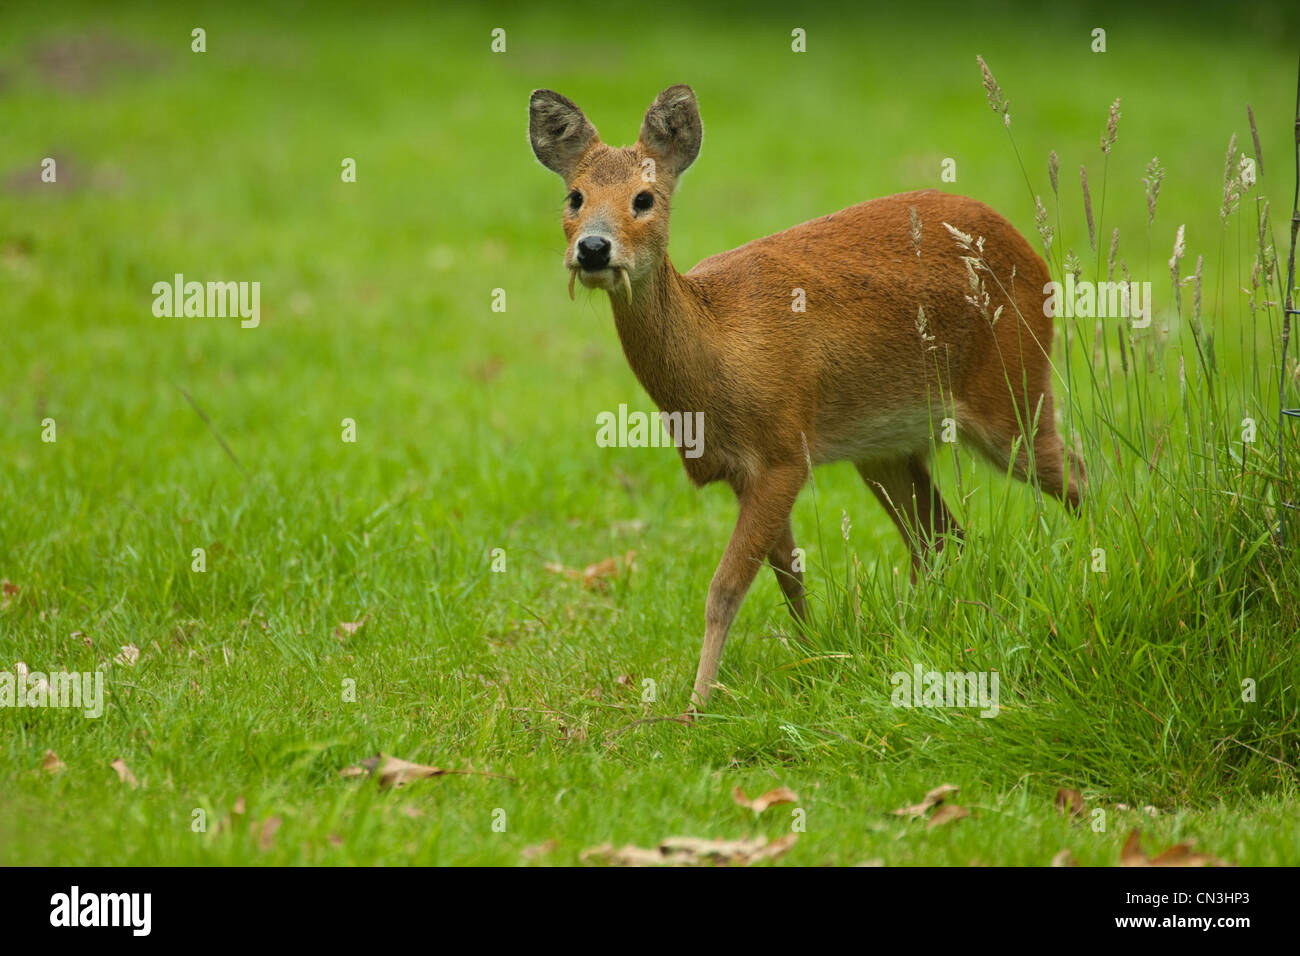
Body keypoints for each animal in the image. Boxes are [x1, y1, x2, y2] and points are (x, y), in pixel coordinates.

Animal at [527, 83, 1086, 717]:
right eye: (574, 197)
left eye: (643, 199)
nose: (594, 248)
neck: (719, 351)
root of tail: (1036, 256)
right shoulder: (747, 470)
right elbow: (787, 574)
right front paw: (810, 653)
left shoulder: (783, 452)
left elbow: (725, 587)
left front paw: (696, 706)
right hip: (886, 448)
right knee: (942, 536)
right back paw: (921, 626)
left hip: (1013, 392)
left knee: (1075, 473)